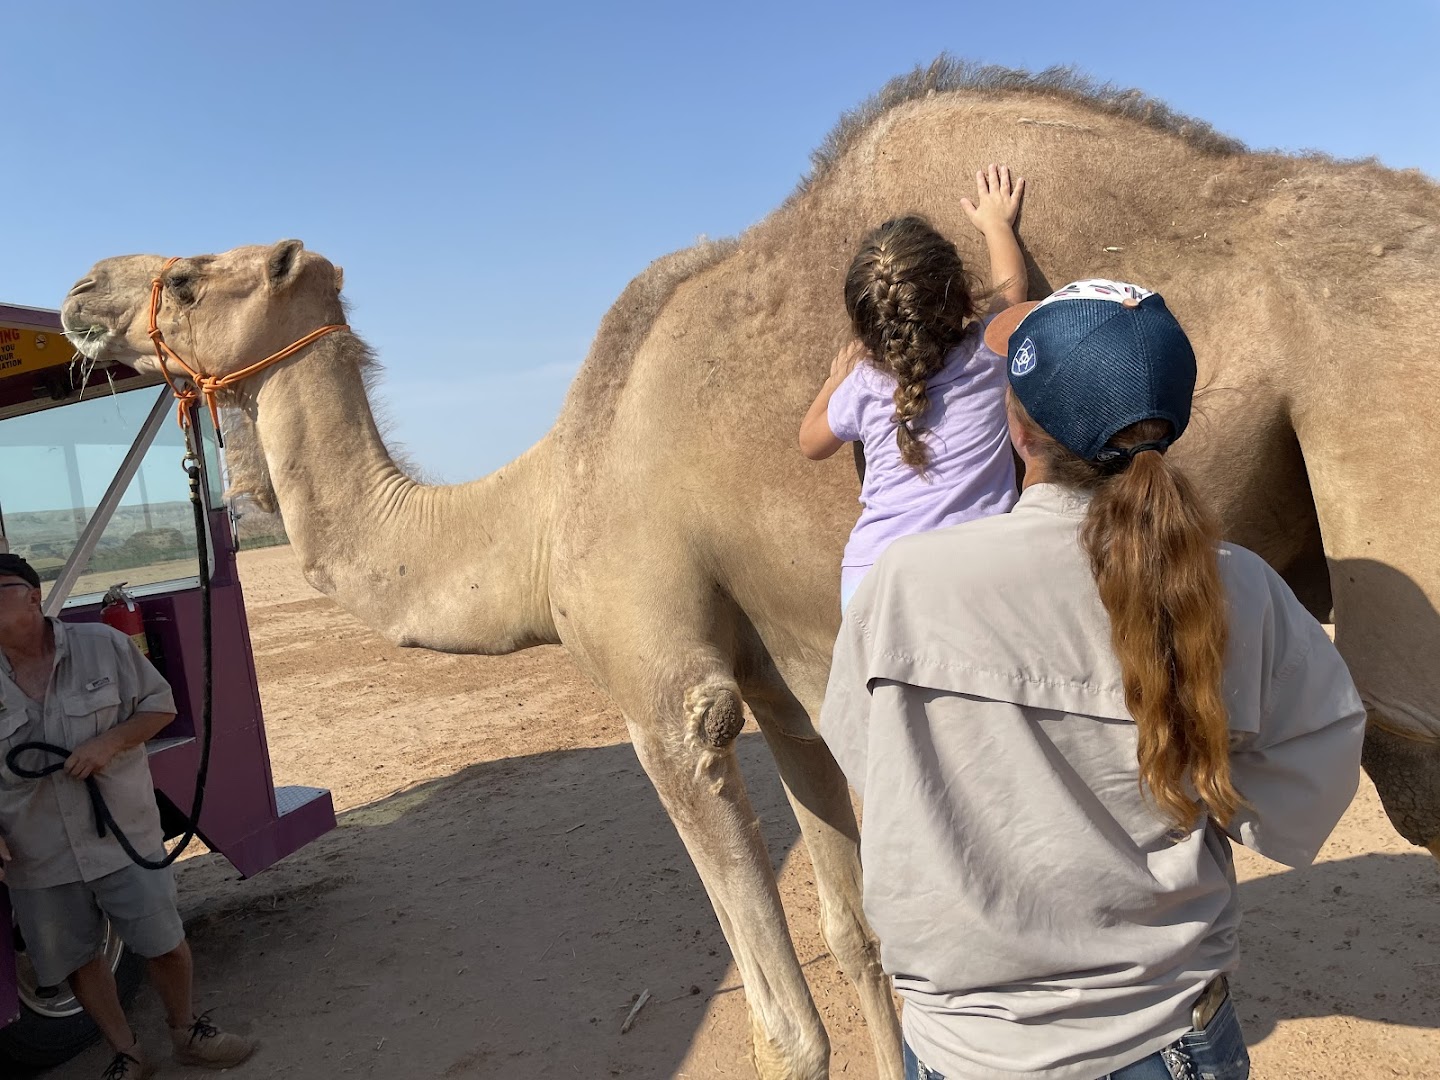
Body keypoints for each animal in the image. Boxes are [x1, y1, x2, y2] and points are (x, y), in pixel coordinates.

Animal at [60, 61, 1439, 1080]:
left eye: (187, 276)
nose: (80, 287)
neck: (546, 509)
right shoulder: (790, 681)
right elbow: (861, 931)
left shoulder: (673, 691)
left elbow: (784, 1024)